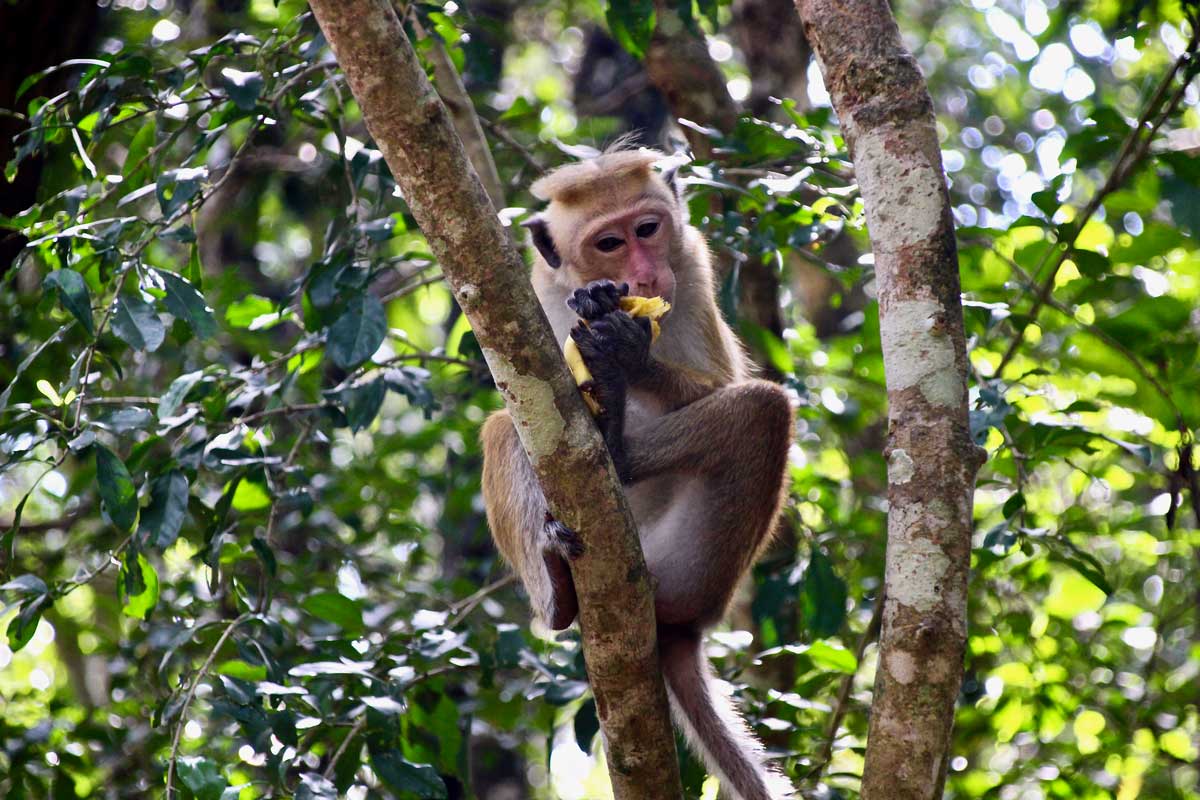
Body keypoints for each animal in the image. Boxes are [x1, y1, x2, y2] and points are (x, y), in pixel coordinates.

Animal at [477, 145, 796, 800]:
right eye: (609, 243)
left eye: (648, 229)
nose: (646, 276)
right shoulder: (536, 291)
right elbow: (517, 395)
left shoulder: (692, 268)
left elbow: (723, 384)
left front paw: (626, 353)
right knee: (502, 430)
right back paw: (556, 593)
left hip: (692, 566)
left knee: (762, 409)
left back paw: (619, 442)